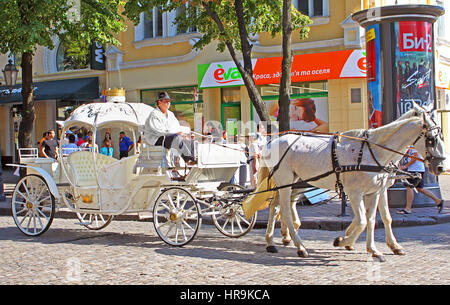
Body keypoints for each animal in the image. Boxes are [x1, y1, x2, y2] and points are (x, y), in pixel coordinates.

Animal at [262, 103, 444, 260]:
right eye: (431, 139)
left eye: (440, 136)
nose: (441, 166)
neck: (374, 152)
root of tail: (273, 141)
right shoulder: (355, 192)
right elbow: (362, 220)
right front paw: (343, 241)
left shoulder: (376, 191)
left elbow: (377, 218)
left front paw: (377, 248)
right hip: (286, 182)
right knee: (284, 210)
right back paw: (299, 246)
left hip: (297, 182)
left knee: (277, 207)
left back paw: (273, 241)